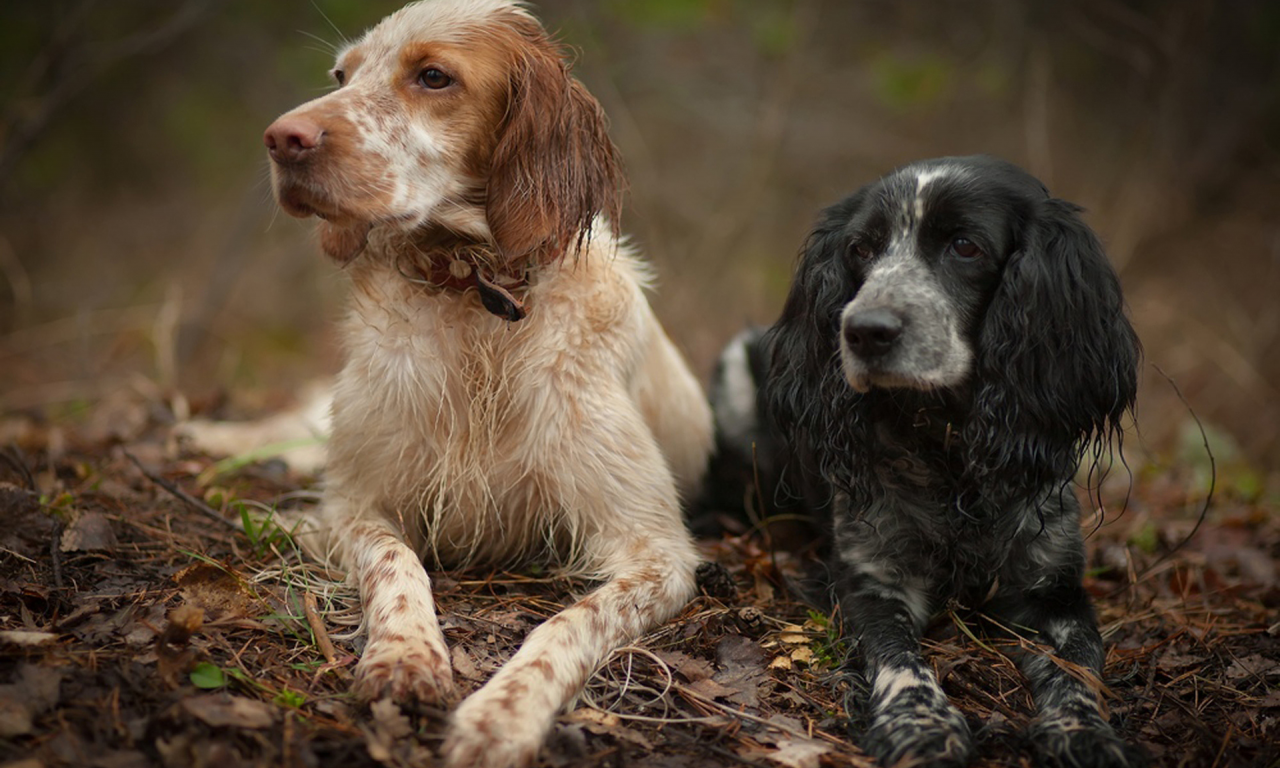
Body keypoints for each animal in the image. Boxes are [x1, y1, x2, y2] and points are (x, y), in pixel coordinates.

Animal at [202, 3, 721, 762]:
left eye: (433, 77)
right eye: (341, 76)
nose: (280, 138)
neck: (474, 294)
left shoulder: (656, 551)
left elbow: (565, 624)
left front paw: (502, 715)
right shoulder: (353, 502)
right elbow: (397, 565)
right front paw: (404, 655)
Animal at [716, 157, 1146, 768]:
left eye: (965, 246)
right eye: (861, 249)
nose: (863, 331)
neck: (950, 454)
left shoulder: (1055, 589)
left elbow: (1080, 669)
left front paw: (1084, 730)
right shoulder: (870, 579)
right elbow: (898, 658)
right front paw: (920, 724)